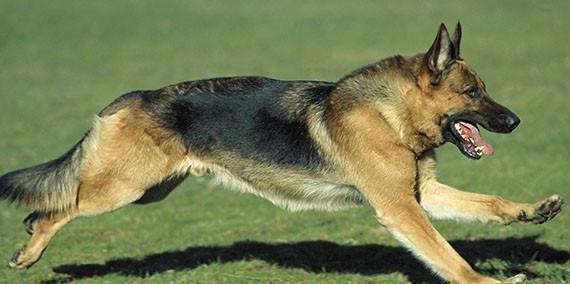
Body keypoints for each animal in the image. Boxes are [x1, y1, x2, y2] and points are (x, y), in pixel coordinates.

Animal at [0, 22, 560, 284]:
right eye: (474, 93)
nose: (516, 121)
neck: (392, 114)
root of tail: (131, 97)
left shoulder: (423, 194)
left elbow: (490, 204)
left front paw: (533, 210)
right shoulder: (401, 208)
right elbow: (448, 254)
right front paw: (487, 279)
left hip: (148, 191)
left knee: (53, 204)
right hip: (122, 189)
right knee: (56, 207)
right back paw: (28, 252)